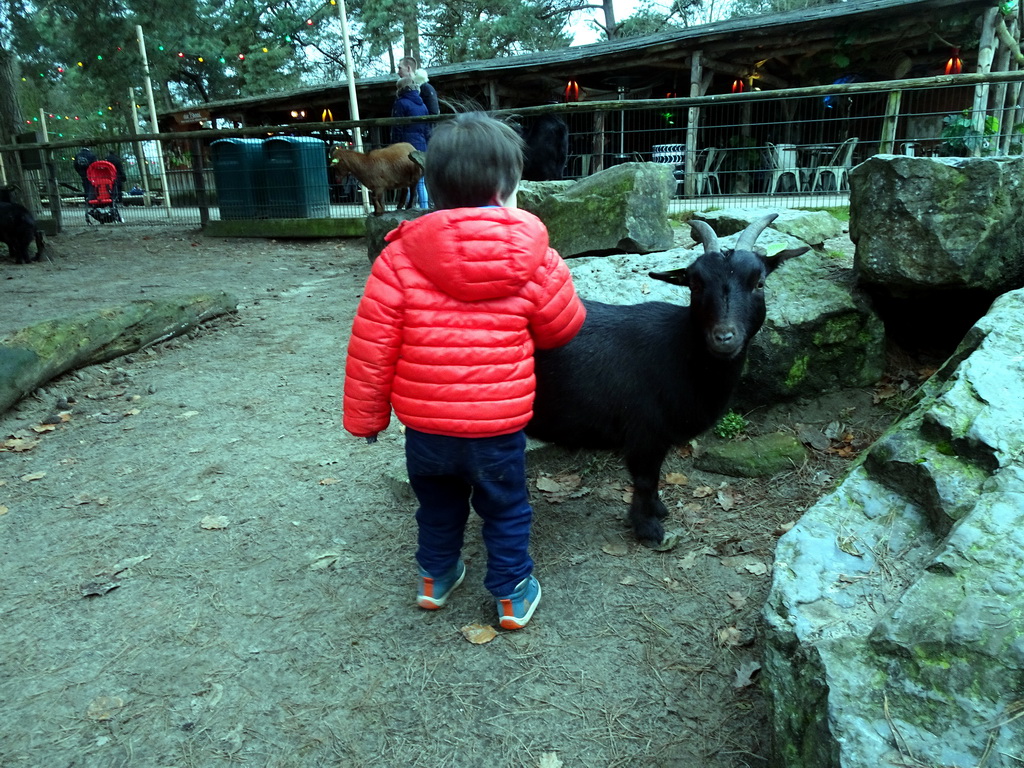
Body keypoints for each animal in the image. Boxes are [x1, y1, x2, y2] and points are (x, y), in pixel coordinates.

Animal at [528, 214, 806, 544]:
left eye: (759, 283)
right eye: (695, 283)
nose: (724, 337)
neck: (680, 353)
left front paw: (658, 510)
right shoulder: (644, 431)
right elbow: (645, 478)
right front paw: (647, 527)